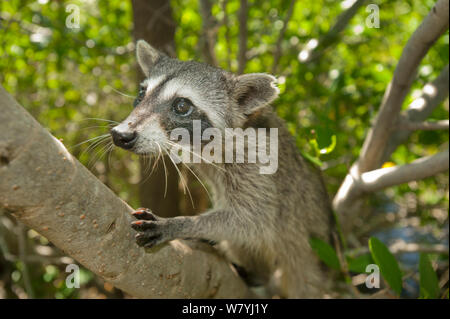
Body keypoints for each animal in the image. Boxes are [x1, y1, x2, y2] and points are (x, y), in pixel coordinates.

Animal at [110, 40, 334, 300]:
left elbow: (253, 221)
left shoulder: (258, 163)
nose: (120, 135)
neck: (201, 148)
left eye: (182, 105)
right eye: (141, 94)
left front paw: (183, 223)